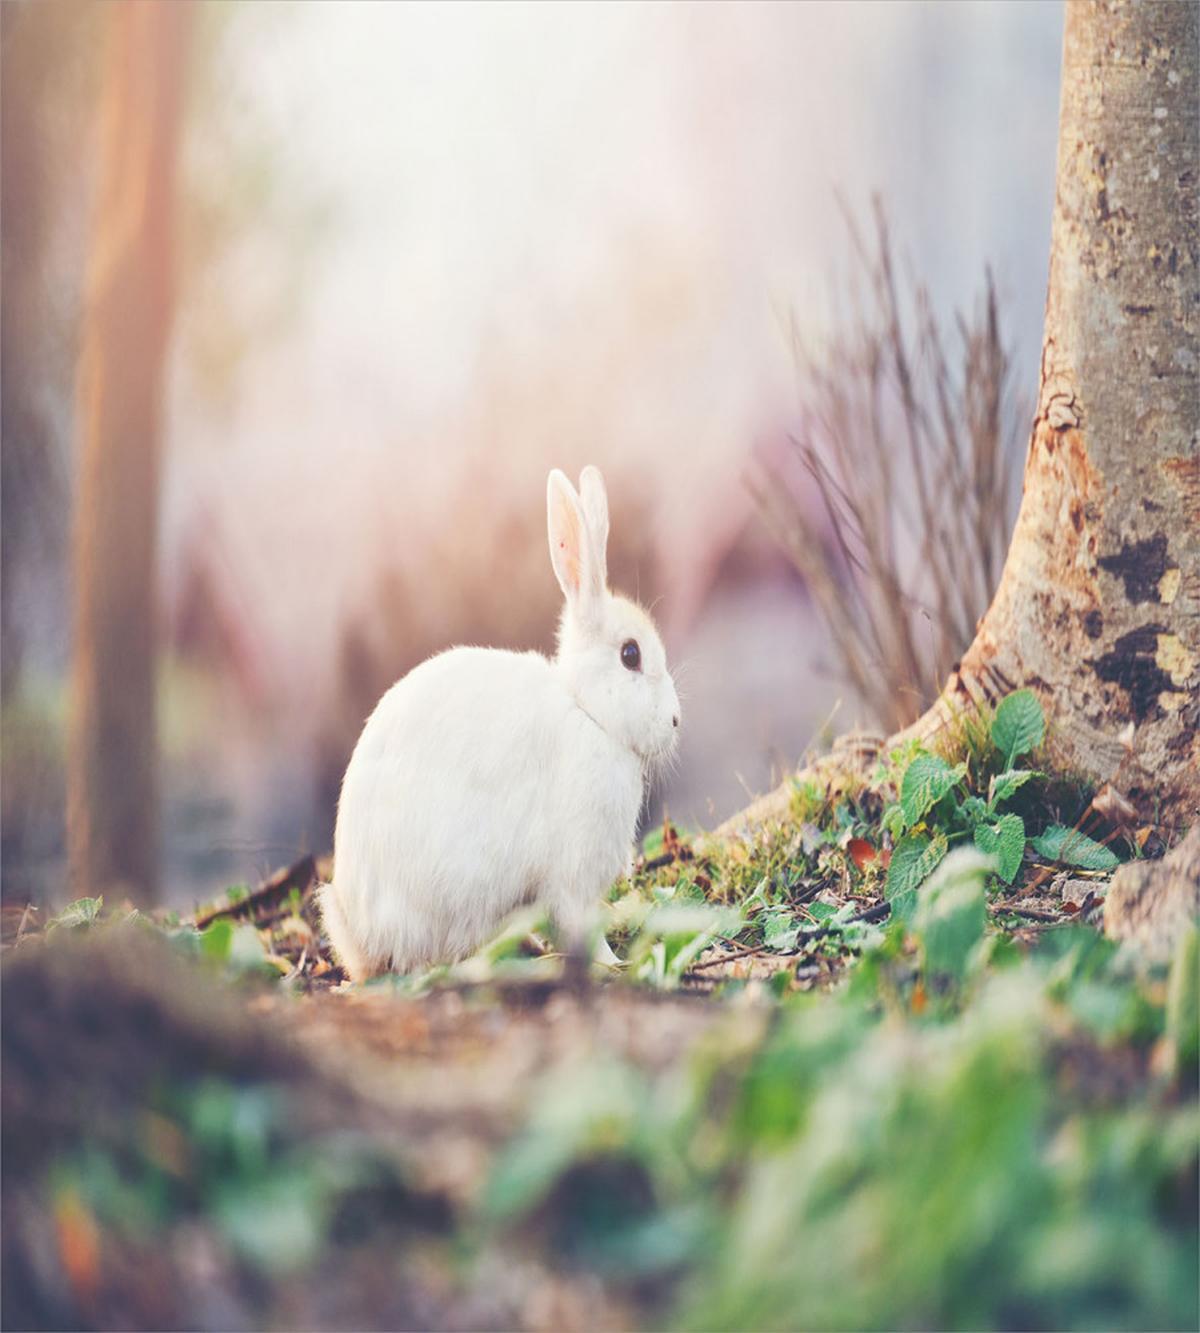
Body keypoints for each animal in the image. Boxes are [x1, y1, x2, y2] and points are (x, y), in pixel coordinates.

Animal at [320, 465, 680, 982]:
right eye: (631, 655)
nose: (675, 721)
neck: (587, 711)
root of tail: (359, 941)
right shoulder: (571, 876)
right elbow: (580, 926)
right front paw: (614, 964)